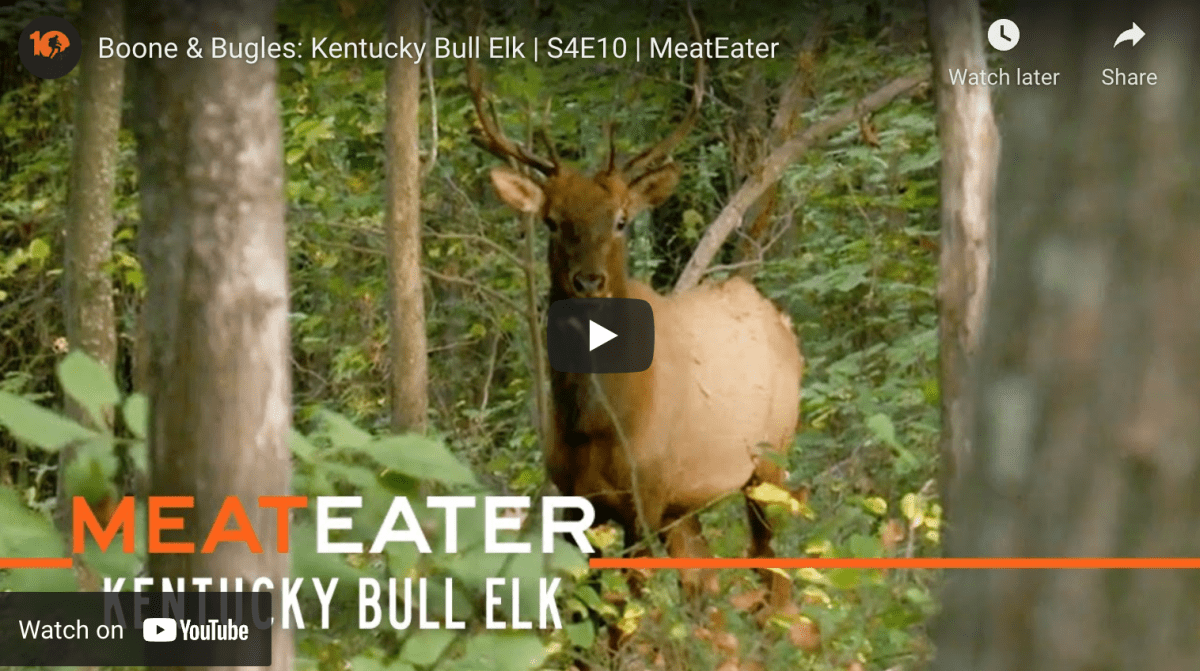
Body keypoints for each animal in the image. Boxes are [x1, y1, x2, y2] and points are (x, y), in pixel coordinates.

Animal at [467, 52, 803, 617]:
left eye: (622, 220)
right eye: (552, 221)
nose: (588, 281)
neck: (596, 422)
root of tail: (780, 320)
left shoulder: (645, 493)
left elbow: (626, 612)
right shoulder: (574, 498)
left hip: (769, 461)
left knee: (771, 574)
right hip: (686, 503)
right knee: (705, 584)